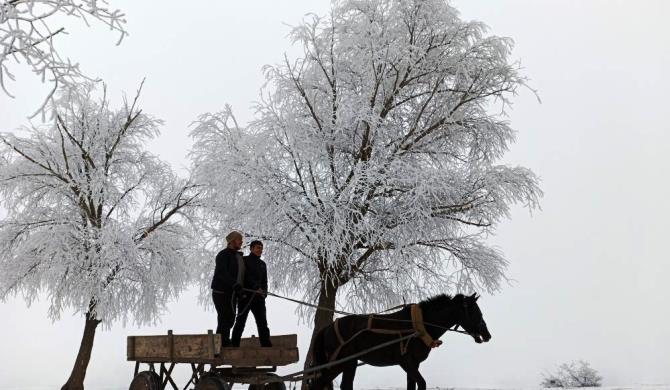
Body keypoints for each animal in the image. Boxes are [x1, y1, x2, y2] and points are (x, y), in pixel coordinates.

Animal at [308, 292, 490, 390]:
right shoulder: (406, 362)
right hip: (339, 362)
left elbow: (412, 386)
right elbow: (422, 384)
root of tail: (327, 328)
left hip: (349, 363)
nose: (487, 335)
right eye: (474, 312)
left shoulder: (414, 365)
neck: (419, 325)